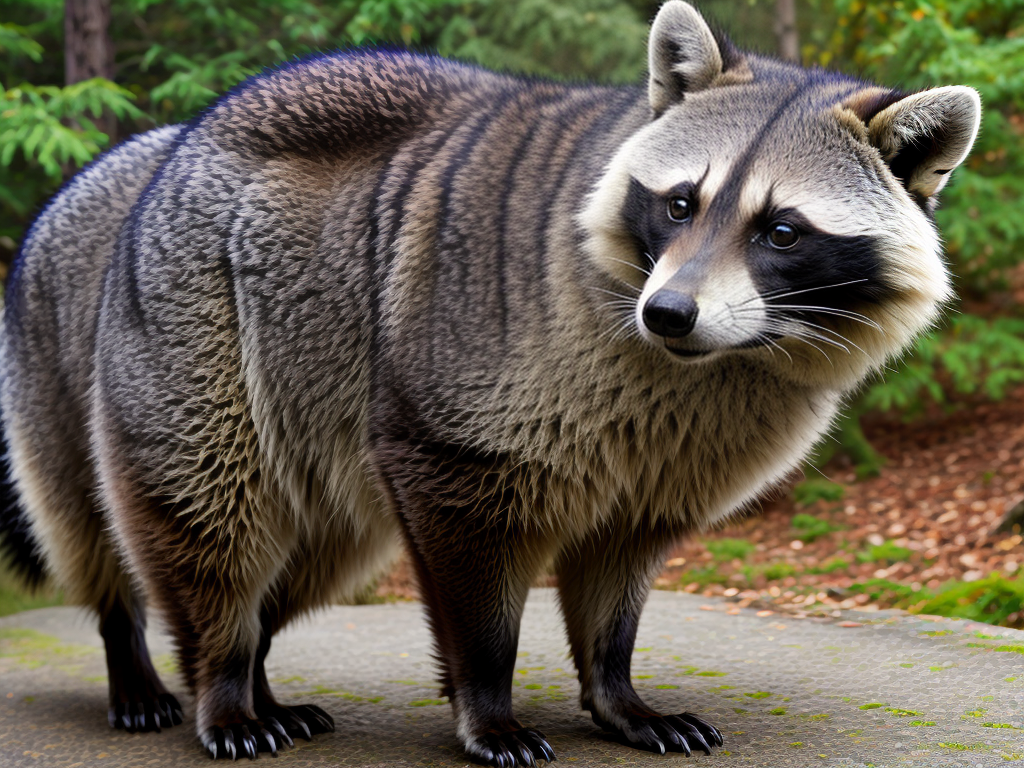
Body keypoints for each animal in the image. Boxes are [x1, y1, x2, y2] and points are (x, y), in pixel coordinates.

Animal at [0, 1, 979, 764]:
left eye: (781, 230)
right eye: (680, 204)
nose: (668, 314)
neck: (708, 362)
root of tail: (165, 152)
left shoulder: (671, 454)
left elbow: (619, 570)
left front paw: (616, 691)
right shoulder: (471, 384)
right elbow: (473, 581)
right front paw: (489, 705)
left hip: (316, 436)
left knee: (306, 558)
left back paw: (256, 666)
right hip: (194, 331)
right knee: (201, 518)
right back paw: (213, 676)